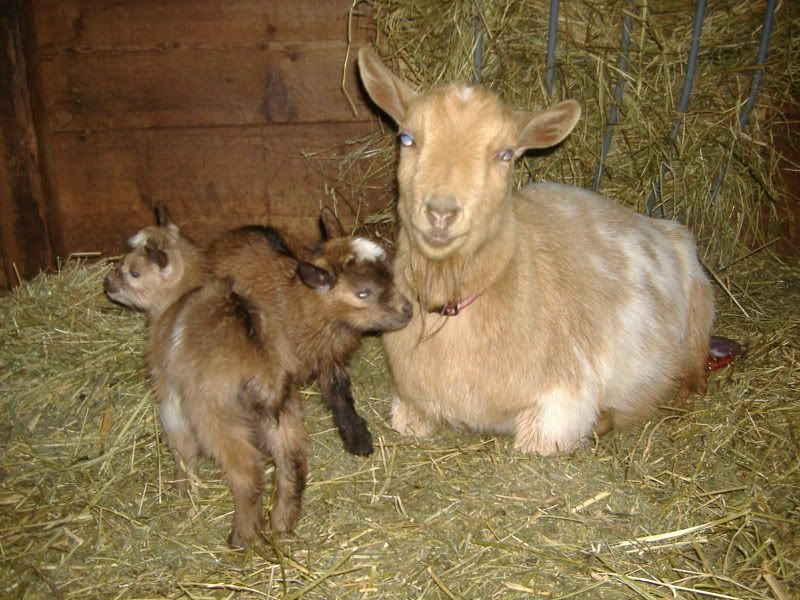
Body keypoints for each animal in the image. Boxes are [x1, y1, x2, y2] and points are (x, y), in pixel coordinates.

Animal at [358, 47, 716, 455]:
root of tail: (659, 225)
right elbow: (406, 423)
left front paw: (601, 421)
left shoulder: (564, 400)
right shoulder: (409, 400)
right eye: (406, 138)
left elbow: (539, 442)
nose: (441, 212)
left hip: (698, 318)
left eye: (506, 154)